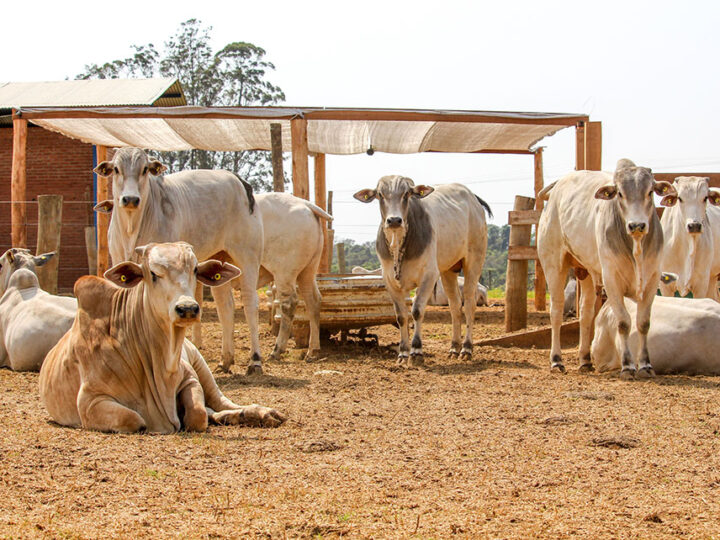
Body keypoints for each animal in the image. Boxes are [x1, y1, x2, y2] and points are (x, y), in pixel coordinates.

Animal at [39, 242, 286, 434]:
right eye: (153, 274)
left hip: (201, 364)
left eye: (195, 270)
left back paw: (260, 414)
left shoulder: (191, 377)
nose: (187, 308)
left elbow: (197, 414)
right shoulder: (91, 401)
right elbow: (135, 419)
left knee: (220, 403)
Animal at [352, 177, 490, 368]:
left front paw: (416, 351)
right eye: (380, 194)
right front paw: (403, 353)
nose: (394, 220)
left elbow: (416, 311)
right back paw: (454, 348)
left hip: (474, 261)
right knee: (455, 306)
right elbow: (401, 316)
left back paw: (466, 349)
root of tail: (473, 198)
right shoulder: (389, 281)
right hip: (448, 270)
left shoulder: (429, 276)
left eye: (407, 194)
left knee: (469, 303)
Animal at [536, 160, 676, 380]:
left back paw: (585, 360)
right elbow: (624, 322)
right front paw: (627, 366)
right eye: (620, 194)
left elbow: (644, 323)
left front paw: (645, 365)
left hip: (585, 272)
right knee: (556, 311)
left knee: (585, 313)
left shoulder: (652, 280)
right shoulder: (611, 280)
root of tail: (557, 186)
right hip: (553, 265)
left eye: (650, 192)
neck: (636, 246)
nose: (637, 225)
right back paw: (556, 360)